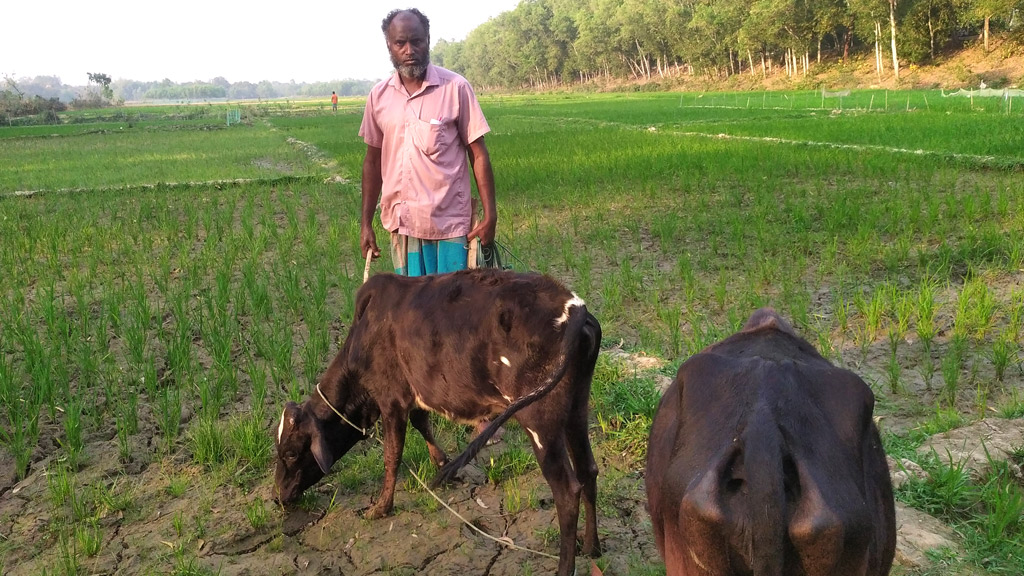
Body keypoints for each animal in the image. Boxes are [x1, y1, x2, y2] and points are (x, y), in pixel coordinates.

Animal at [276, 268, 602, 573]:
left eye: (290, 452)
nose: (278, 496)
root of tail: (574, 307)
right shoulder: (414, 394)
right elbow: (423, 424)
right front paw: (442, 463)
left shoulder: (391, 399)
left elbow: (392, 456)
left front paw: (380, 508)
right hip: (576, 409)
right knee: (588, 470)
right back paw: (592, 547)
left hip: (540, 423)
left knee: (567, 491)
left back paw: (565, 566)